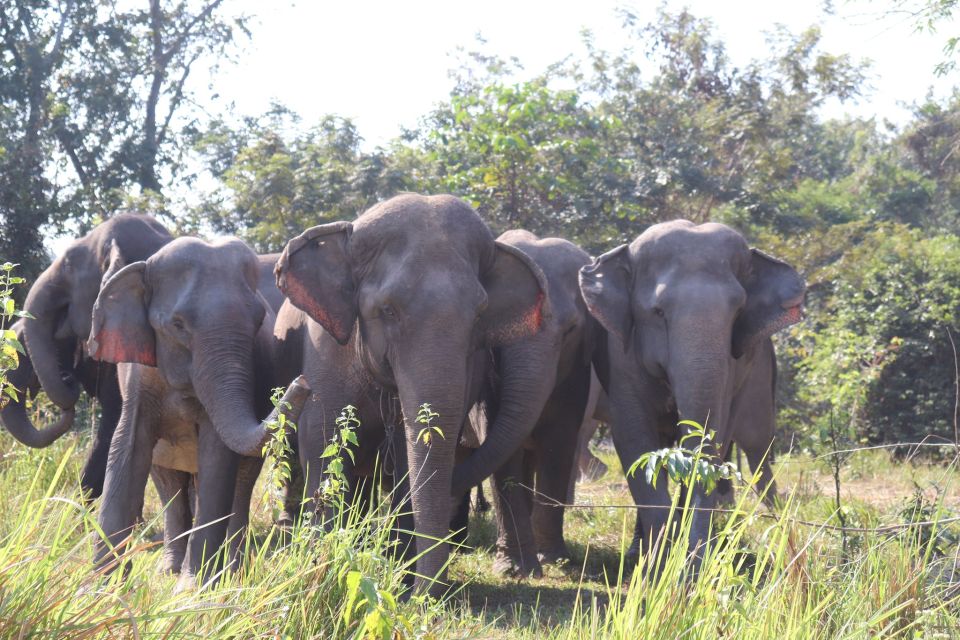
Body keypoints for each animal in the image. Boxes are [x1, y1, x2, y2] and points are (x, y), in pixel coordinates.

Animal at [87, 235, 308, 580]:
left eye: (259, 322)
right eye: (177, 324)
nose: (302, 382)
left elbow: (217, 454)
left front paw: (193, 586)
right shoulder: (139, 378)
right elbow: (127, 445)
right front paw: (100, 586)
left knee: (239, 483)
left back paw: (231, 570)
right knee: (169, 486)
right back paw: (170, 569)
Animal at [274, 194, 552, 596]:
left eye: (479, 315)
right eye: (387, 310)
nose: (426, 594)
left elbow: (412, 460)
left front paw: (401, 581)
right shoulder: (325, 351)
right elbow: (322, 439)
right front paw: (319, 566)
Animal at [448, 231, 596, 580]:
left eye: (570, 330)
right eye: (497, 329)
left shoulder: (576, 374)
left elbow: (558, 447)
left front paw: (555, 560)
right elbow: (503, 453)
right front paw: (516, 569)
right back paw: (455, 546)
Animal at [576, 222, 804, 568]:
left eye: (738, 311)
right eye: (658, 312)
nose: (694, 562)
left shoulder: (735, 362)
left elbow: (715, 433)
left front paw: (689, 561)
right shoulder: (619, 355)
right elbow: (634, 439)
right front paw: (659, 565)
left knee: (758, 443)